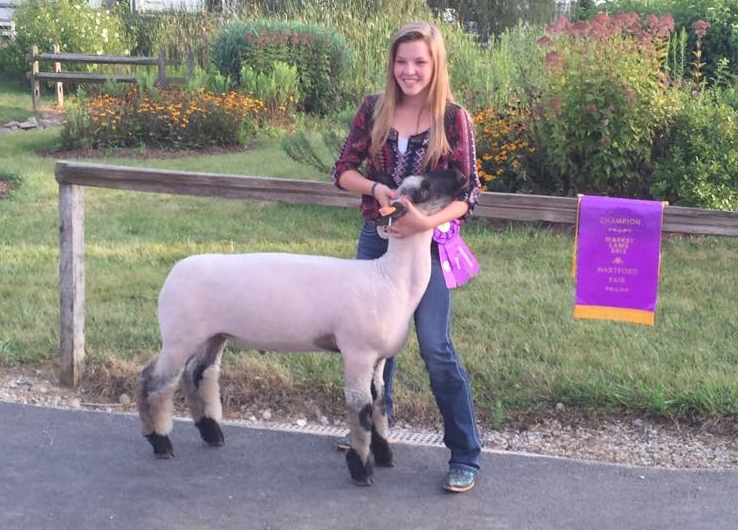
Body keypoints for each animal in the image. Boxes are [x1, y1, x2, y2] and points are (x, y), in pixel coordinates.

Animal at [138, 168, 468, 486]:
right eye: (423, 188)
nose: (462, 176)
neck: (389, 278)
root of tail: (175, 271)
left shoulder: (378, 358)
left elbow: (378, 405)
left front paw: (385, 455)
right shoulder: (358, 353)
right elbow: (361, 410)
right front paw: (361, 470)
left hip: (213, 334)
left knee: (197, 374)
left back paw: (211, 433)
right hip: (179, 334)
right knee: (155, 380)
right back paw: (160, 442)